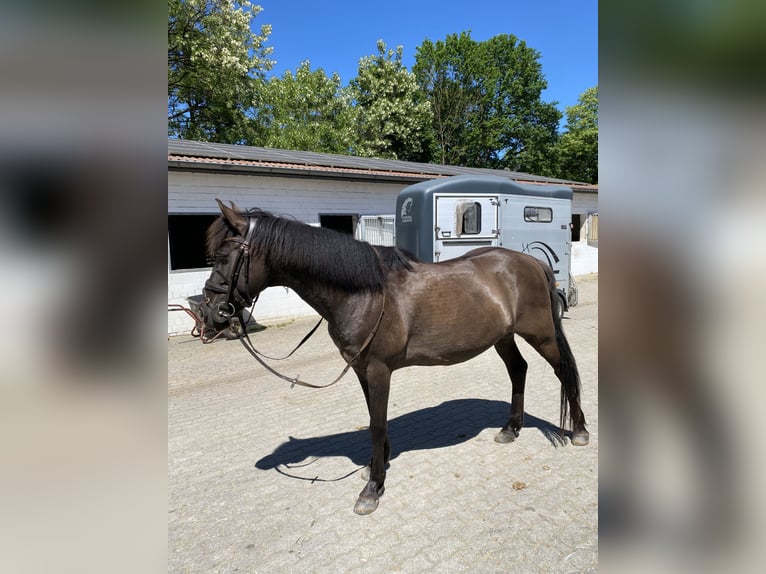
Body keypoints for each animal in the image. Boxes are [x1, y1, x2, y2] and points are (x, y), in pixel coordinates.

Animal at [197, 200, 589, 515]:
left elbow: (376, 424)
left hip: (541, 334)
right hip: (503, 337)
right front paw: (379, 465)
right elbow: (375, 417)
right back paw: (511, 429)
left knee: (563, 372)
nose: (211, 315)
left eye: (225, 257)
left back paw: (580, 431)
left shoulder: (378, 369)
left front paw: (372, 489)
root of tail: (532, 263)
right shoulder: (361, 369)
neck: (363, 293)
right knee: (518, 370)